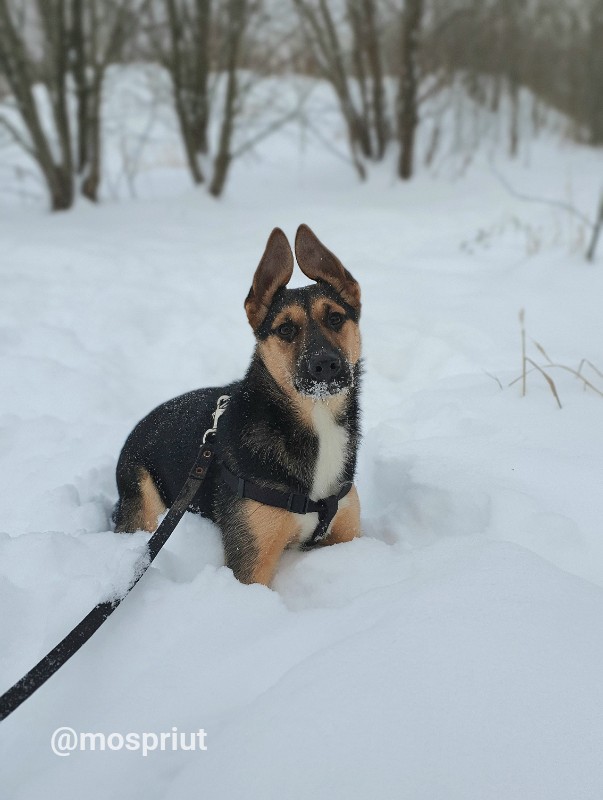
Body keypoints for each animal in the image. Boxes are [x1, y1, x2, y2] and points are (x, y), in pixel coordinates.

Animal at [114, 222, 364, 584]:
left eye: (335, 318)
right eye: (285, 329)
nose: (325, 365)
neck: (315, 420)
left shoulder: (347, 530)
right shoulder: (250, 558)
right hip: (143, 498)